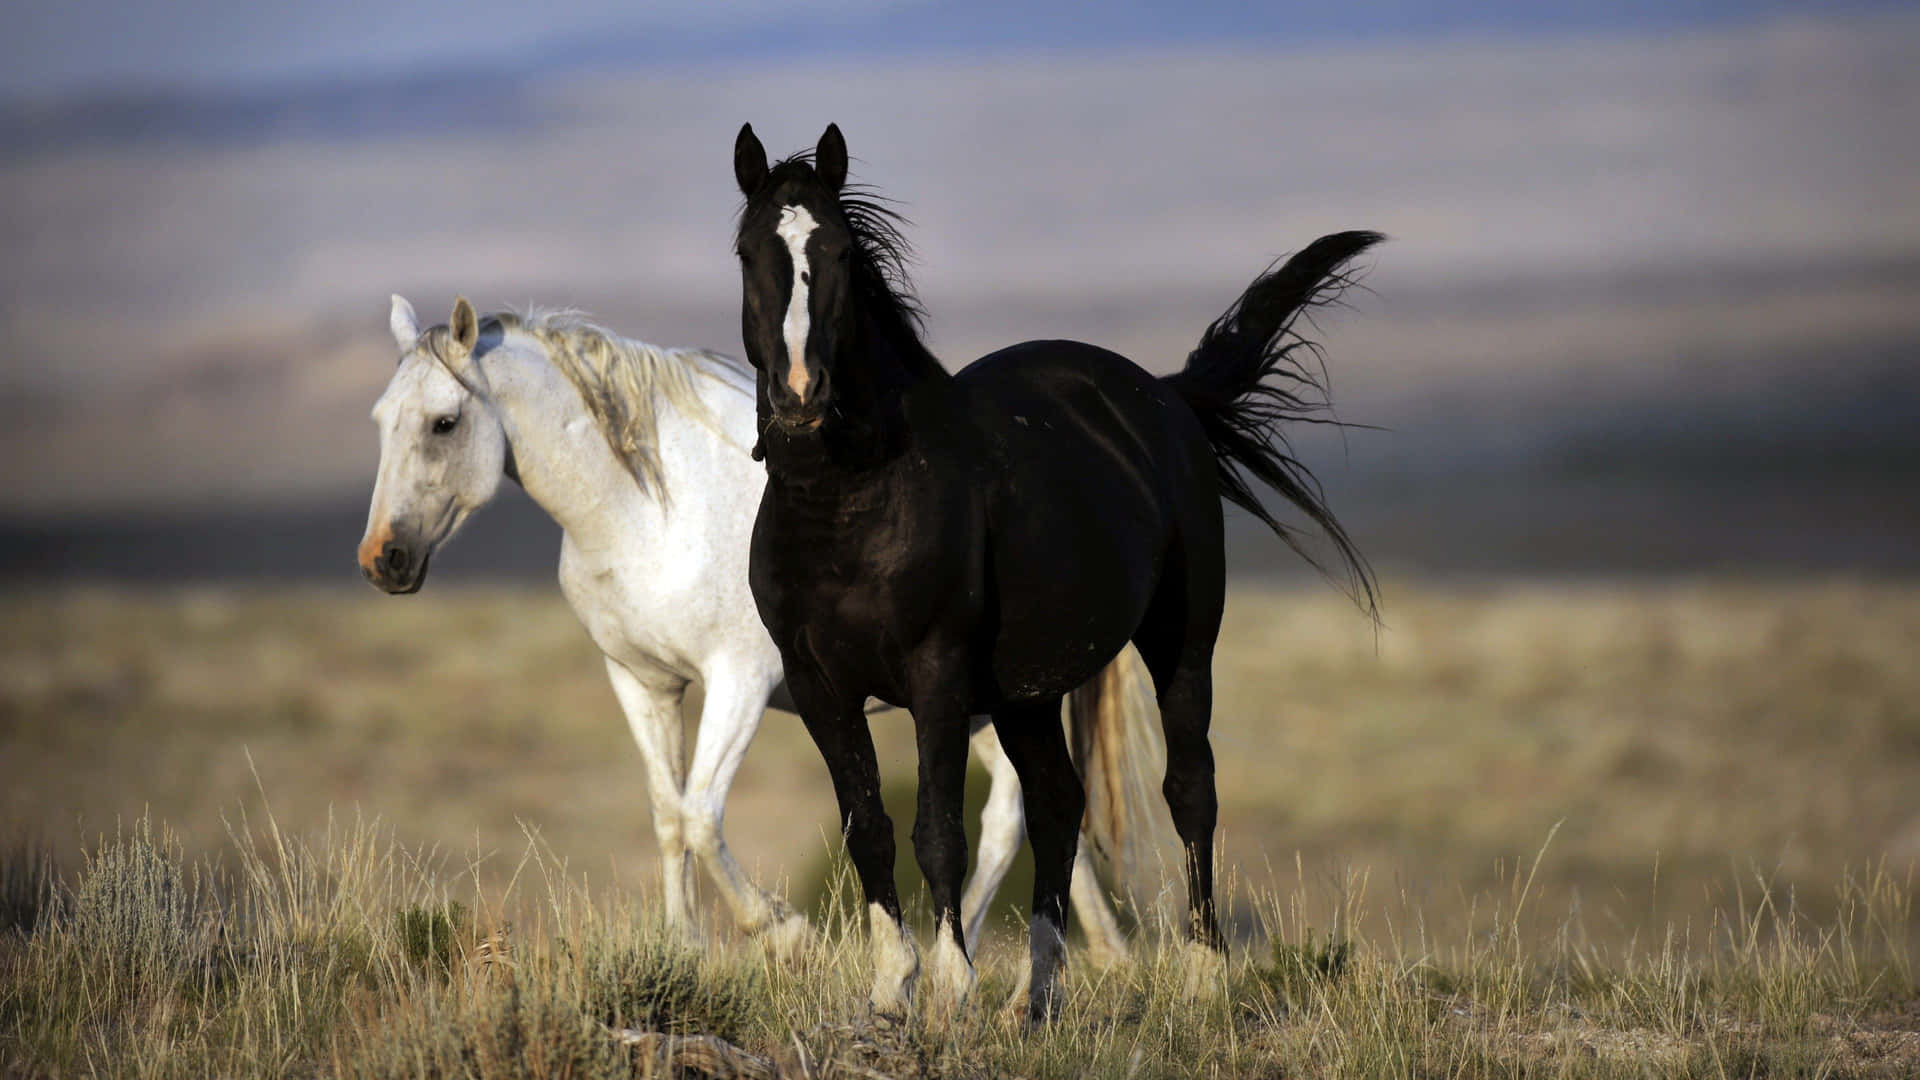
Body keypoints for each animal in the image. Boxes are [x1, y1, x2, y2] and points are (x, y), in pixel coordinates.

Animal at [357, 295, 1156, 959]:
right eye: (380, 420)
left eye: (444, 422)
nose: (382, 560)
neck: (653, 509)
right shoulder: (643, 682)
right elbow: (668, 813)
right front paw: (683, 950)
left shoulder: (739, 681)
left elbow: (704, 816)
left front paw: (782, 931)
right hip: (987, 704)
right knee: (1041, 815)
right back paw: (1094, 960)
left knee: (1010, 816)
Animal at [731, 122, 1380, 1020]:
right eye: (748, 251)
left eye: (839, 252)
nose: (800, 395)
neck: (849, 506)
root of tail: (1164, 397)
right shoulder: (819, 683)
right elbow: (869, 827)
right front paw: (893, 991)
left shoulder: (935, 673)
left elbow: (937, 828)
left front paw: (951, 987)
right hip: (1025, 694)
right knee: (1058, 802)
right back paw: (1035, 998)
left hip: (1181, 642)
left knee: (1191, 788)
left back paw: (1203, 975)